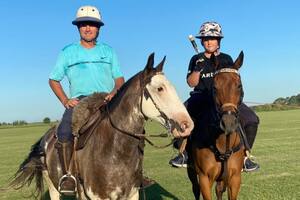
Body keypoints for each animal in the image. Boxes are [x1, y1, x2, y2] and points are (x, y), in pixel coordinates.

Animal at [10, 53, 193, 200]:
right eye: (160, 88)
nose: (187, 125)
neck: (115, 150)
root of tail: (45, 137)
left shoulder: (131, 194)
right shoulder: (98, 196)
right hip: (53, 185)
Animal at [189, 51, 245, 200]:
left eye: (239, 85)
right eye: (214, 87)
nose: (228, 122)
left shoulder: (235, 178)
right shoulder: (204, 178)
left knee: (219, 189)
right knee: (195, 189)